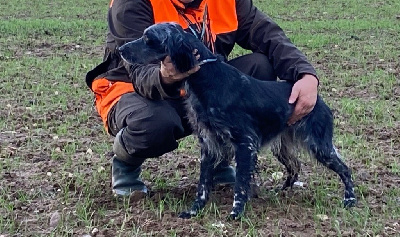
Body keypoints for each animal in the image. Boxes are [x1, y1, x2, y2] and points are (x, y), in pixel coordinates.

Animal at [119, 22, 356, 220]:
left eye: (149, 38)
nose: (120, 50)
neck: (207, 78)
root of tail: (318, 97)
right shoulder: (209, 145)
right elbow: (203, 185)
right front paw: (194, 211)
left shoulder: (245, 143)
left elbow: (240, 184)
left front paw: (236, 212)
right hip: (282, 148)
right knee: (295, 166)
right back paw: (281, 192)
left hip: (320, 146)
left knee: (345, 170)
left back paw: (350, 200)